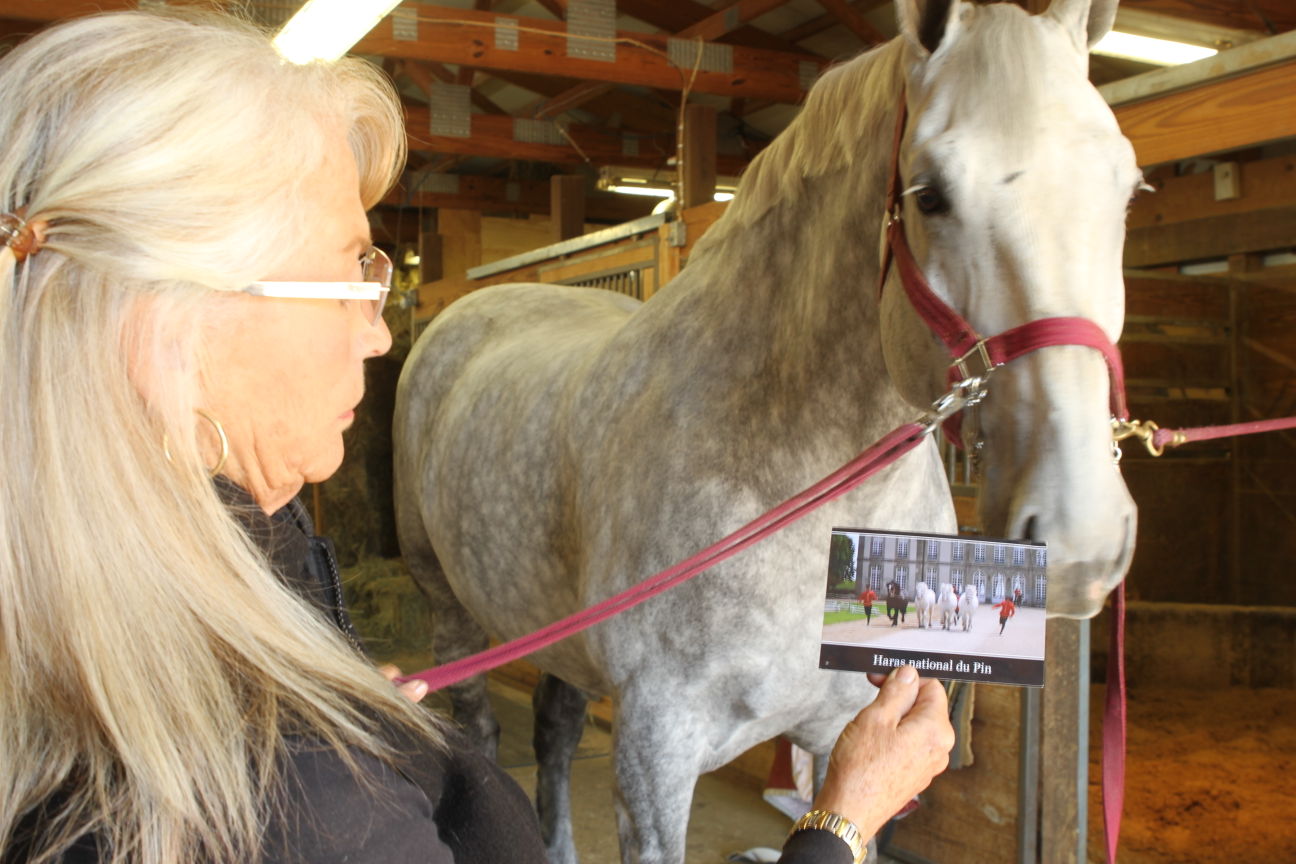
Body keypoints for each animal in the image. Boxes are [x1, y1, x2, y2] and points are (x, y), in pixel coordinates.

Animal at [391, 1, 1135, 860]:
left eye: (1126, 187)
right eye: (929, 194)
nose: (1082, 537)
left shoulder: (847, 728)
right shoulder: (655, 757)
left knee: (555, 731)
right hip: (451, 611)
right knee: (479, 735)